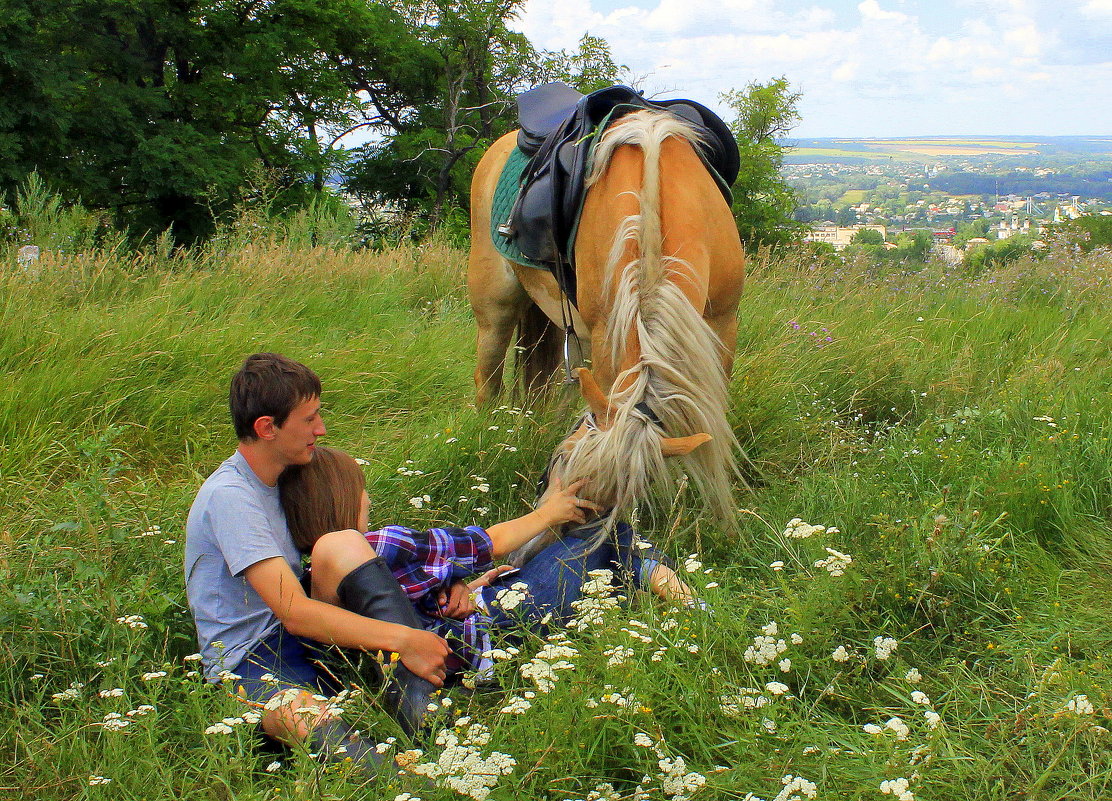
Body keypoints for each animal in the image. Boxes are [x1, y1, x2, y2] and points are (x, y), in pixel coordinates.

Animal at [469, 107, 747, 531]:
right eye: (564, 459)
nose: (564, 528)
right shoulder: (603, 337)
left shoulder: (721, 326)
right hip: (494, 307)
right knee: (488, 379)